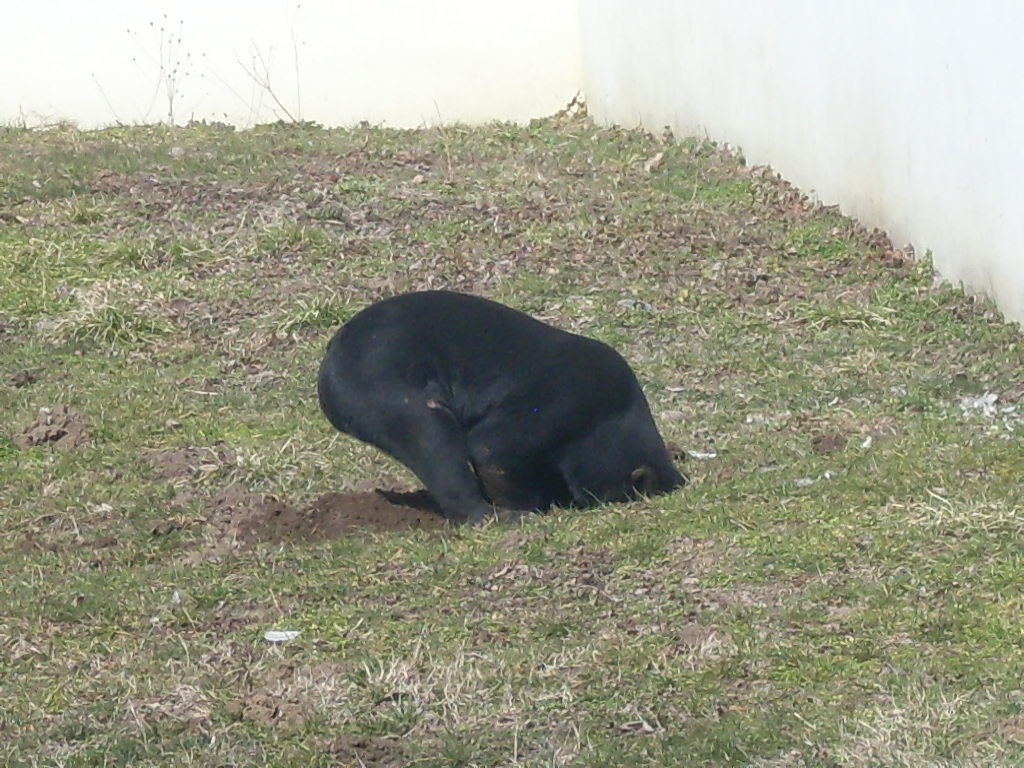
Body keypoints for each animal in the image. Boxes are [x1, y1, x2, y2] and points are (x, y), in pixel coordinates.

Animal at [317, 290, 685, 524]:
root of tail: (329, 363)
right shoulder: (561, 405)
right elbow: (492, 448)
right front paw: (528, 507)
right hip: (386, 389)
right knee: (433, 444)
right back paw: (493, 516)